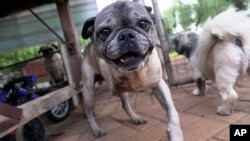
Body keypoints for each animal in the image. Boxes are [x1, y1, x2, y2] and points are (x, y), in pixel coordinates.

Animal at [81, 1, 183, 140]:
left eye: (143, 24)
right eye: (105, 32)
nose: (125, 35)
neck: (136, 72)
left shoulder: (158, 85)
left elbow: (171, 109)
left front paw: (175, 132)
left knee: (125, 105)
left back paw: (135, 118)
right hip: (89, 92)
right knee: (89, 113)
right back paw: (96, 129)